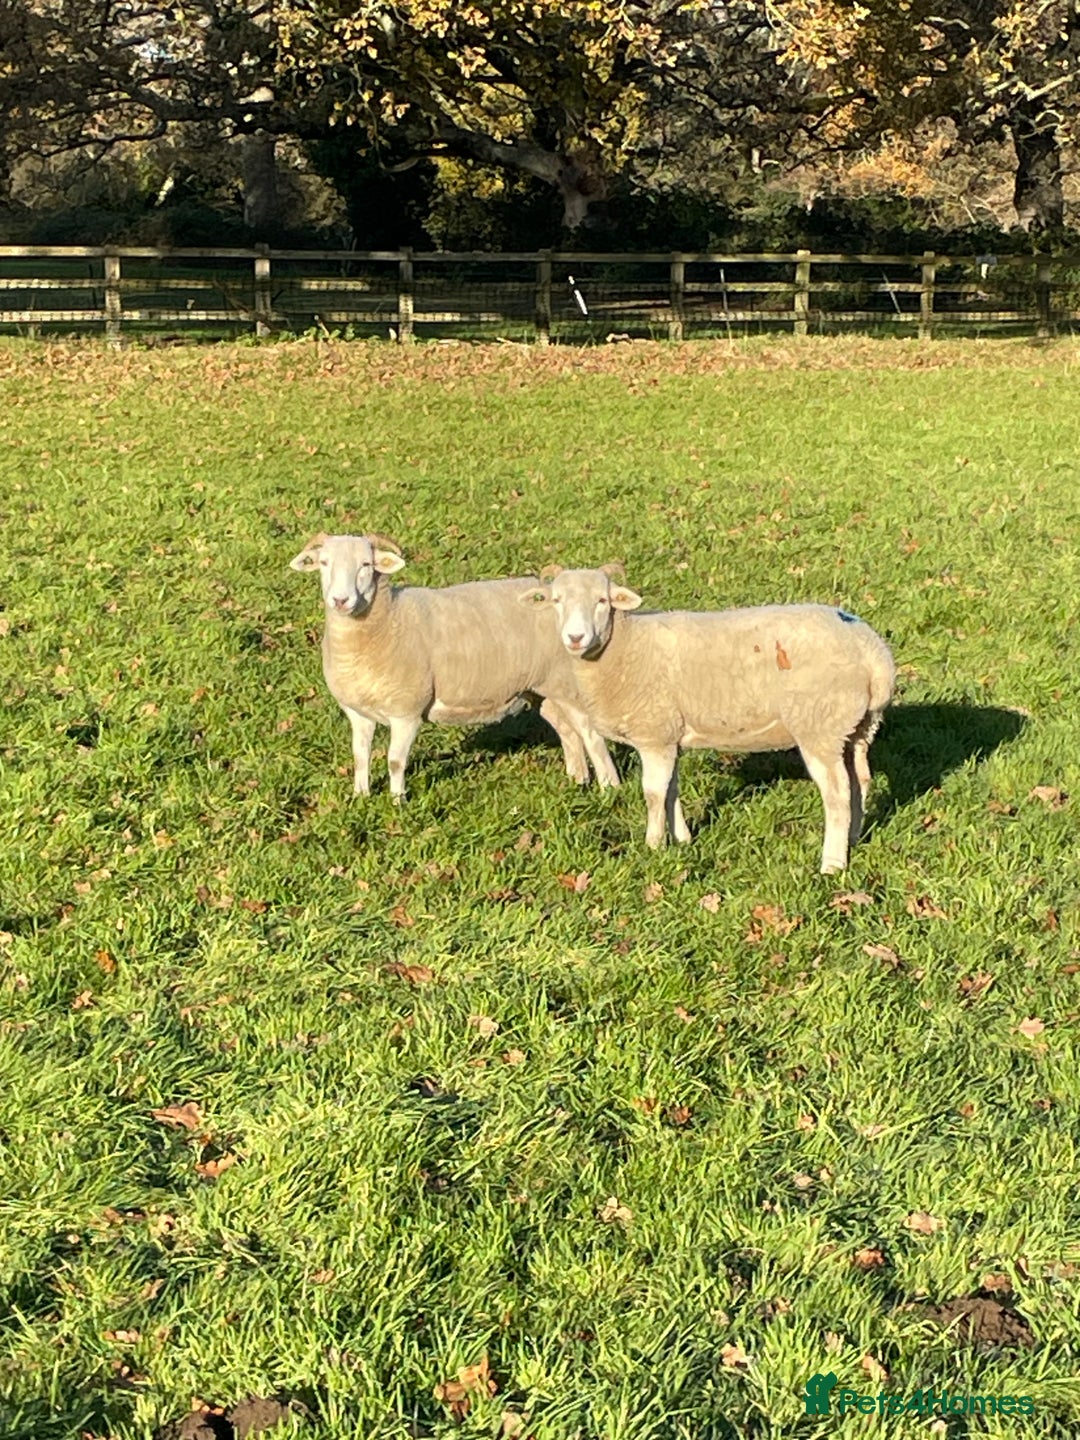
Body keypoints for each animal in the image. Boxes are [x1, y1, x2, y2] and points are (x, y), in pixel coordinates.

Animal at [289, 533, 619, 800]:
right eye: (323, 563)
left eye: (366, 565)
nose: (340, 600)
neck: (387, 621)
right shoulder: (357, 711)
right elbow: (360, 756)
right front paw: (361, 797)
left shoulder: (407, 712)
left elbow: (395, 761)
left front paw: (397, 803)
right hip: (542, 688)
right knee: (567, 730)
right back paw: (577, 780)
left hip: (566, 683)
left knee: (591, 734)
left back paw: (609, 787)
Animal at [520, 567, 895, 872]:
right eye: (556, 601)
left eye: (602, 600)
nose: (575, 638)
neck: (623, 646)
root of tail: (872, 653)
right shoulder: (670, 733)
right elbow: (672, 789)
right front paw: (682, 839)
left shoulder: (654, 732)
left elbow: (653, 792)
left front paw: (653, 845)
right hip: (856, 727)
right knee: (860, 781)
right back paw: (854, 838)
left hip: (819, 725)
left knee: (837, 793)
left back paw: (832, 863)